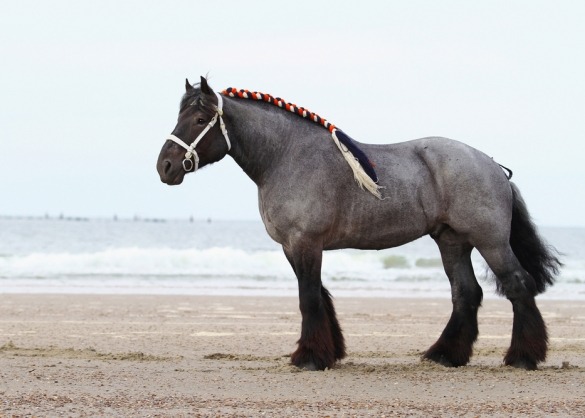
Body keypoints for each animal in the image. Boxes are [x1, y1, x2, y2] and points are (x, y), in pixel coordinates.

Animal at [156, 76, 560, 370]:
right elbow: (319, 295)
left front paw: (309, 358)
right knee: (466, 294)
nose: (166, 166)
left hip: (490, 241)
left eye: (198, 119)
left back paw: (523, 358)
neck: (287, 155)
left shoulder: (305, 243)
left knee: (518, 285)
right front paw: (328, 352)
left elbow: (309, 298)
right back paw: (445, 355)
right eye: (178, 117)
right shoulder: (293, 247)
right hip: (452, 242)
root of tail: (492, 165)